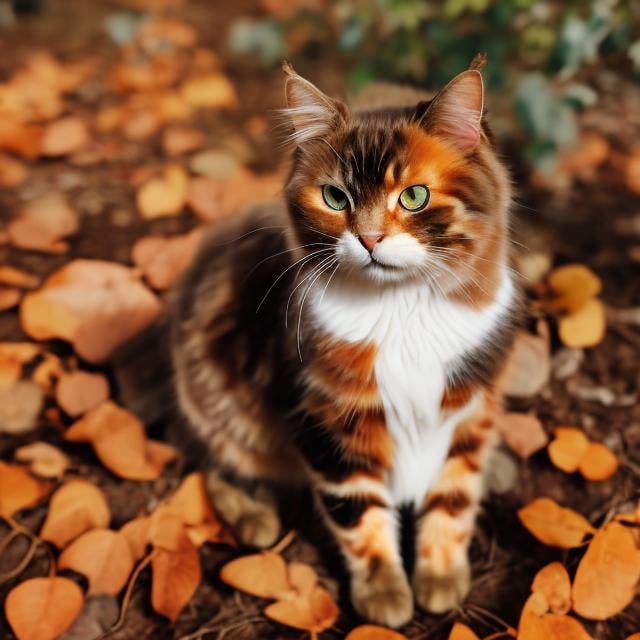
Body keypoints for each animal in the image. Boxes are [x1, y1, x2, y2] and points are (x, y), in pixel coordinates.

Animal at [170, 57, 520, 628]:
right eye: (336, 197)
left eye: (414, 196)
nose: (370, 239)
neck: (402, 310)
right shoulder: (324, 417)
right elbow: (358, 512)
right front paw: (384, 597)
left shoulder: (469, 407)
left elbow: (452, 497)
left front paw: (441, 578)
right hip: (228, 410)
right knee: (216, 467)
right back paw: (256, 519)